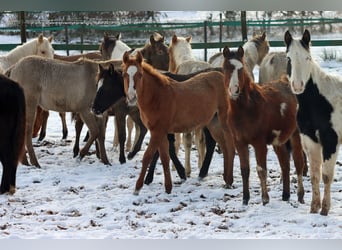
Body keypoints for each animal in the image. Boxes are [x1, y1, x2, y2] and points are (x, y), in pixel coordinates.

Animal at [121, 50, 231, 194]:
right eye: (124, 74)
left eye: (139, 74)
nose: (131, 97)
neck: (158, 97)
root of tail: (221, 76)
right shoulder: (161, 132)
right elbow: (164, 157)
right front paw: (168, 187)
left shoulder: (157, 132)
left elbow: (148, 156)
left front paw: (138, 187)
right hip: (213, 122)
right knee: (222, 144)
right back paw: (223, 178)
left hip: (223, 120)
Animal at [223, 46, 306, 206]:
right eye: (225, 68)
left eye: (241, 69)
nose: (234, 90)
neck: (246, 109)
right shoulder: (239, 142)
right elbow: (244, 170)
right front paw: (245, 199)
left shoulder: (259, 143)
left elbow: (261, 170)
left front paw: (265, 199)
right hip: (278, 141)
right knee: (285, 164)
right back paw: (285, 195)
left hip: (295, 136)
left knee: (299, 162)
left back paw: (300, 195)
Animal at [284, 29, 342, 216]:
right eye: (288, 58)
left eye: (307, 58)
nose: (297, 85)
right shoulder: (310, 140)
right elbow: (315, 174)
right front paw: (314, 207)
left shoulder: (330, 141)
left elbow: (326, 175)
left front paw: (325, 209)